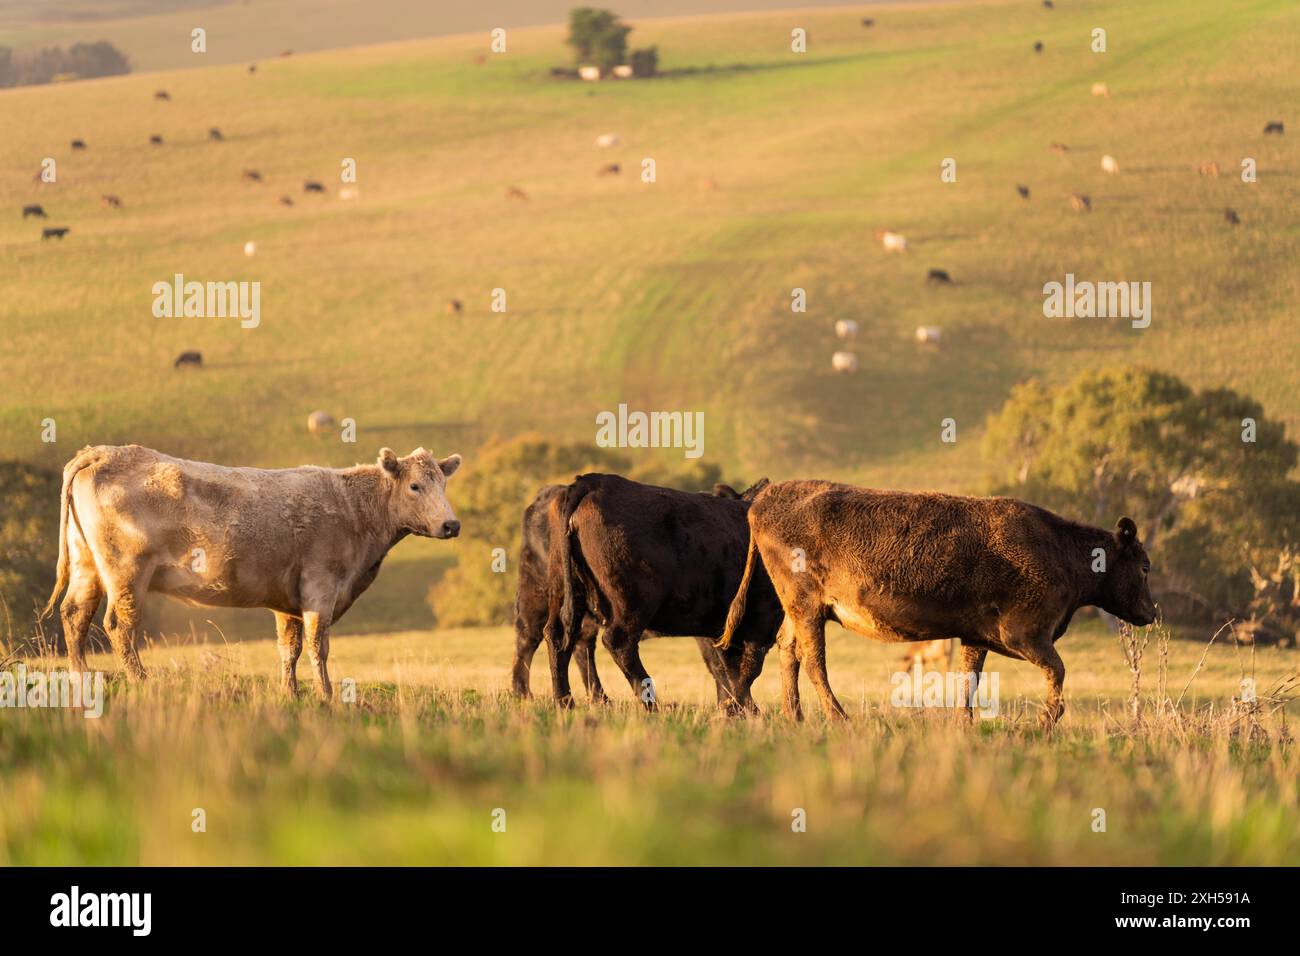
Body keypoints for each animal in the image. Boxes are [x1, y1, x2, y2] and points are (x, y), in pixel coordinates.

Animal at [40, 445, 463, 697]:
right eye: (414, 486)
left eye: (443, 484)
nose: (451, 524)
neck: (354, 510)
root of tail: (102, 452)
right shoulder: (321, 586)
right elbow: (318, 645)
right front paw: (326, 695)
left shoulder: (287, 599)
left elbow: (288, 648)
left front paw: (290, 693)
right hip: (127, 571)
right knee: (118, 626)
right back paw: (141, 680)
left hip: (87, 565)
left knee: (75, 615)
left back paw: (80, 678)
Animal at [548, 474, 780, 714]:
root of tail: (593, 480)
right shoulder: (762, 618)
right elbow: (746, 668)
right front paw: (746, 710)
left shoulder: (721, 626)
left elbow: (726, 667)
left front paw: (733, 709)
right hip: (633, 601)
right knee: (618, 643)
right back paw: (652, 706)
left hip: (565, 588)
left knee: (559, 635)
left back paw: (564, 702)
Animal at [718, 481, 1156, 728]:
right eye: (1145, 566)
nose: (1152, 612)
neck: (1061, 551)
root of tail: (764, 500)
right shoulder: (1025, 634)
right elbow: (1058, 669)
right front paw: (1048, 719)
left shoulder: (977, 635)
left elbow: (969, 678)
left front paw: (965, 722)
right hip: (807, 606)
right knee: (813, 661)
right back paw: (837, 716)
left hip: (799, 609)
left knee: (788, 651)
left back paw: (794, 716)